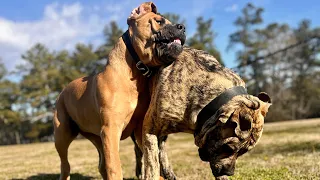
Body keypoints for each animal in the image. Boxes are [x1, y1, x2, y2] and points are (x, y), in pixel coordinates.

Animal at [53, 1, 186, 180]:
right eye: (159, 21)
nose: (182, 27)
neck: (134, 73)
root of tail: (62, 92)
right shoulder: (111, 130)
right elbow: (115, 166)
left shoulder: (139, 129)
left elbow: (149, 159)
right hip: (62, 135)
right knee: (65, 165)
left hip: (97, 138)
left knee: (101, 165)